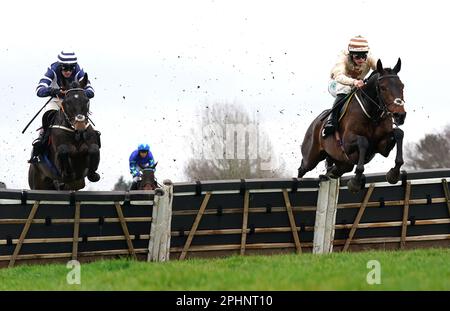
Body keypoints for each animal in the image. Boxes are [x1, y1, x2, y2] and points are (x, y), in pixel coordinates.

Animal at [298, 57, 408, 191]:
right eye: (382, 87)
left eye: (402, 86)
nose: (400, 115)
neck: (373, 115)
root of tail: (314, 123)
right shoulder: (347, 143)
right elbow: (363, 142)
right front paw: (356, 181)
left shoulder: (382, 146)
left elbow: (399, 133)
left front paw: (394, 173)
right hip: (311, 157)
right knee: (302, 168)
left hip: (344, 164)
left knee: (332, 171)